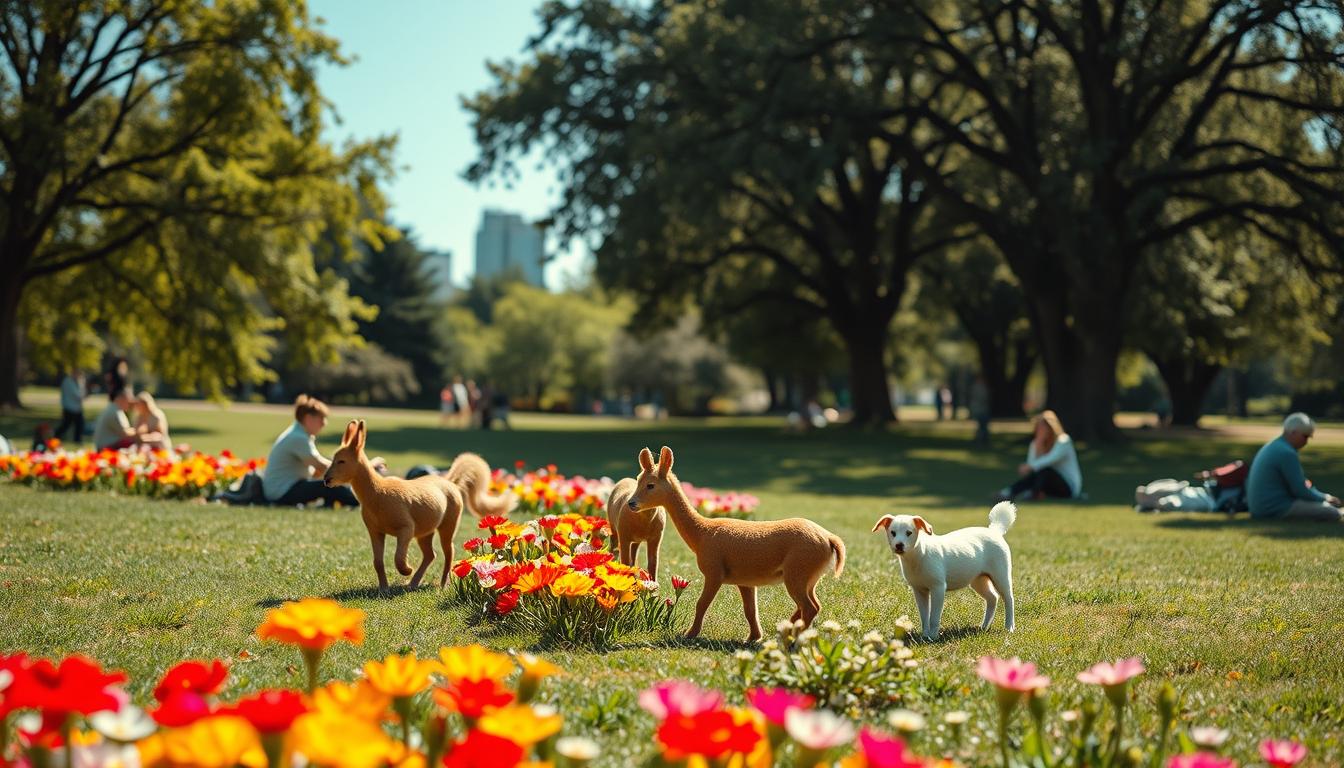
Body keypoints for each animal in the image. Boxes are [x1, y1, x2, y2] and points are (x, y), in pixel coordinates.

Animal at [870, 503, 1016, 640]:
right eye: (893, 532)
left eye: (909, 533)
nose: (899, 545)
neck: (919, 556)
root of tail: (995, 531)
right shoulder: (919, 590)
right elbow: (924, 616)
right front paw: (925, 635)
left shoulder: (938, 588)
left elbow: (934, 617)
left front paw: (933, 637)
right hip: (978, 580)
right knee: (992, 597)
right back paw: (984, 627)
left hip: (1001, 575)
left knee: (1008, 598)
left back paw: (1009, 627)